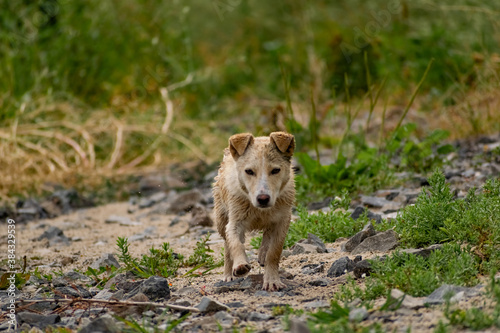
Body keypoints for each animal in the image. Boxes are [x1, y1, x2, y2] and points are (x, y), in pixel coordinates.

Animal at [212, 131, 294, 290]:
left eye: (275, 170)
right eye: (249, 171)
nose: (263, 198)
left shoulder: (283, 220)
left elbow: (274, 252)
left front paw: (272, 280)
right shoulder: (234, 221)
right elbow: (235, 243)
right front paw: (240, 265)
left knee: (267, 235)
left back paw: (262, 254)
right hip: (221, 218)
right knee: (226, 245)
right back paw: (228, 275)